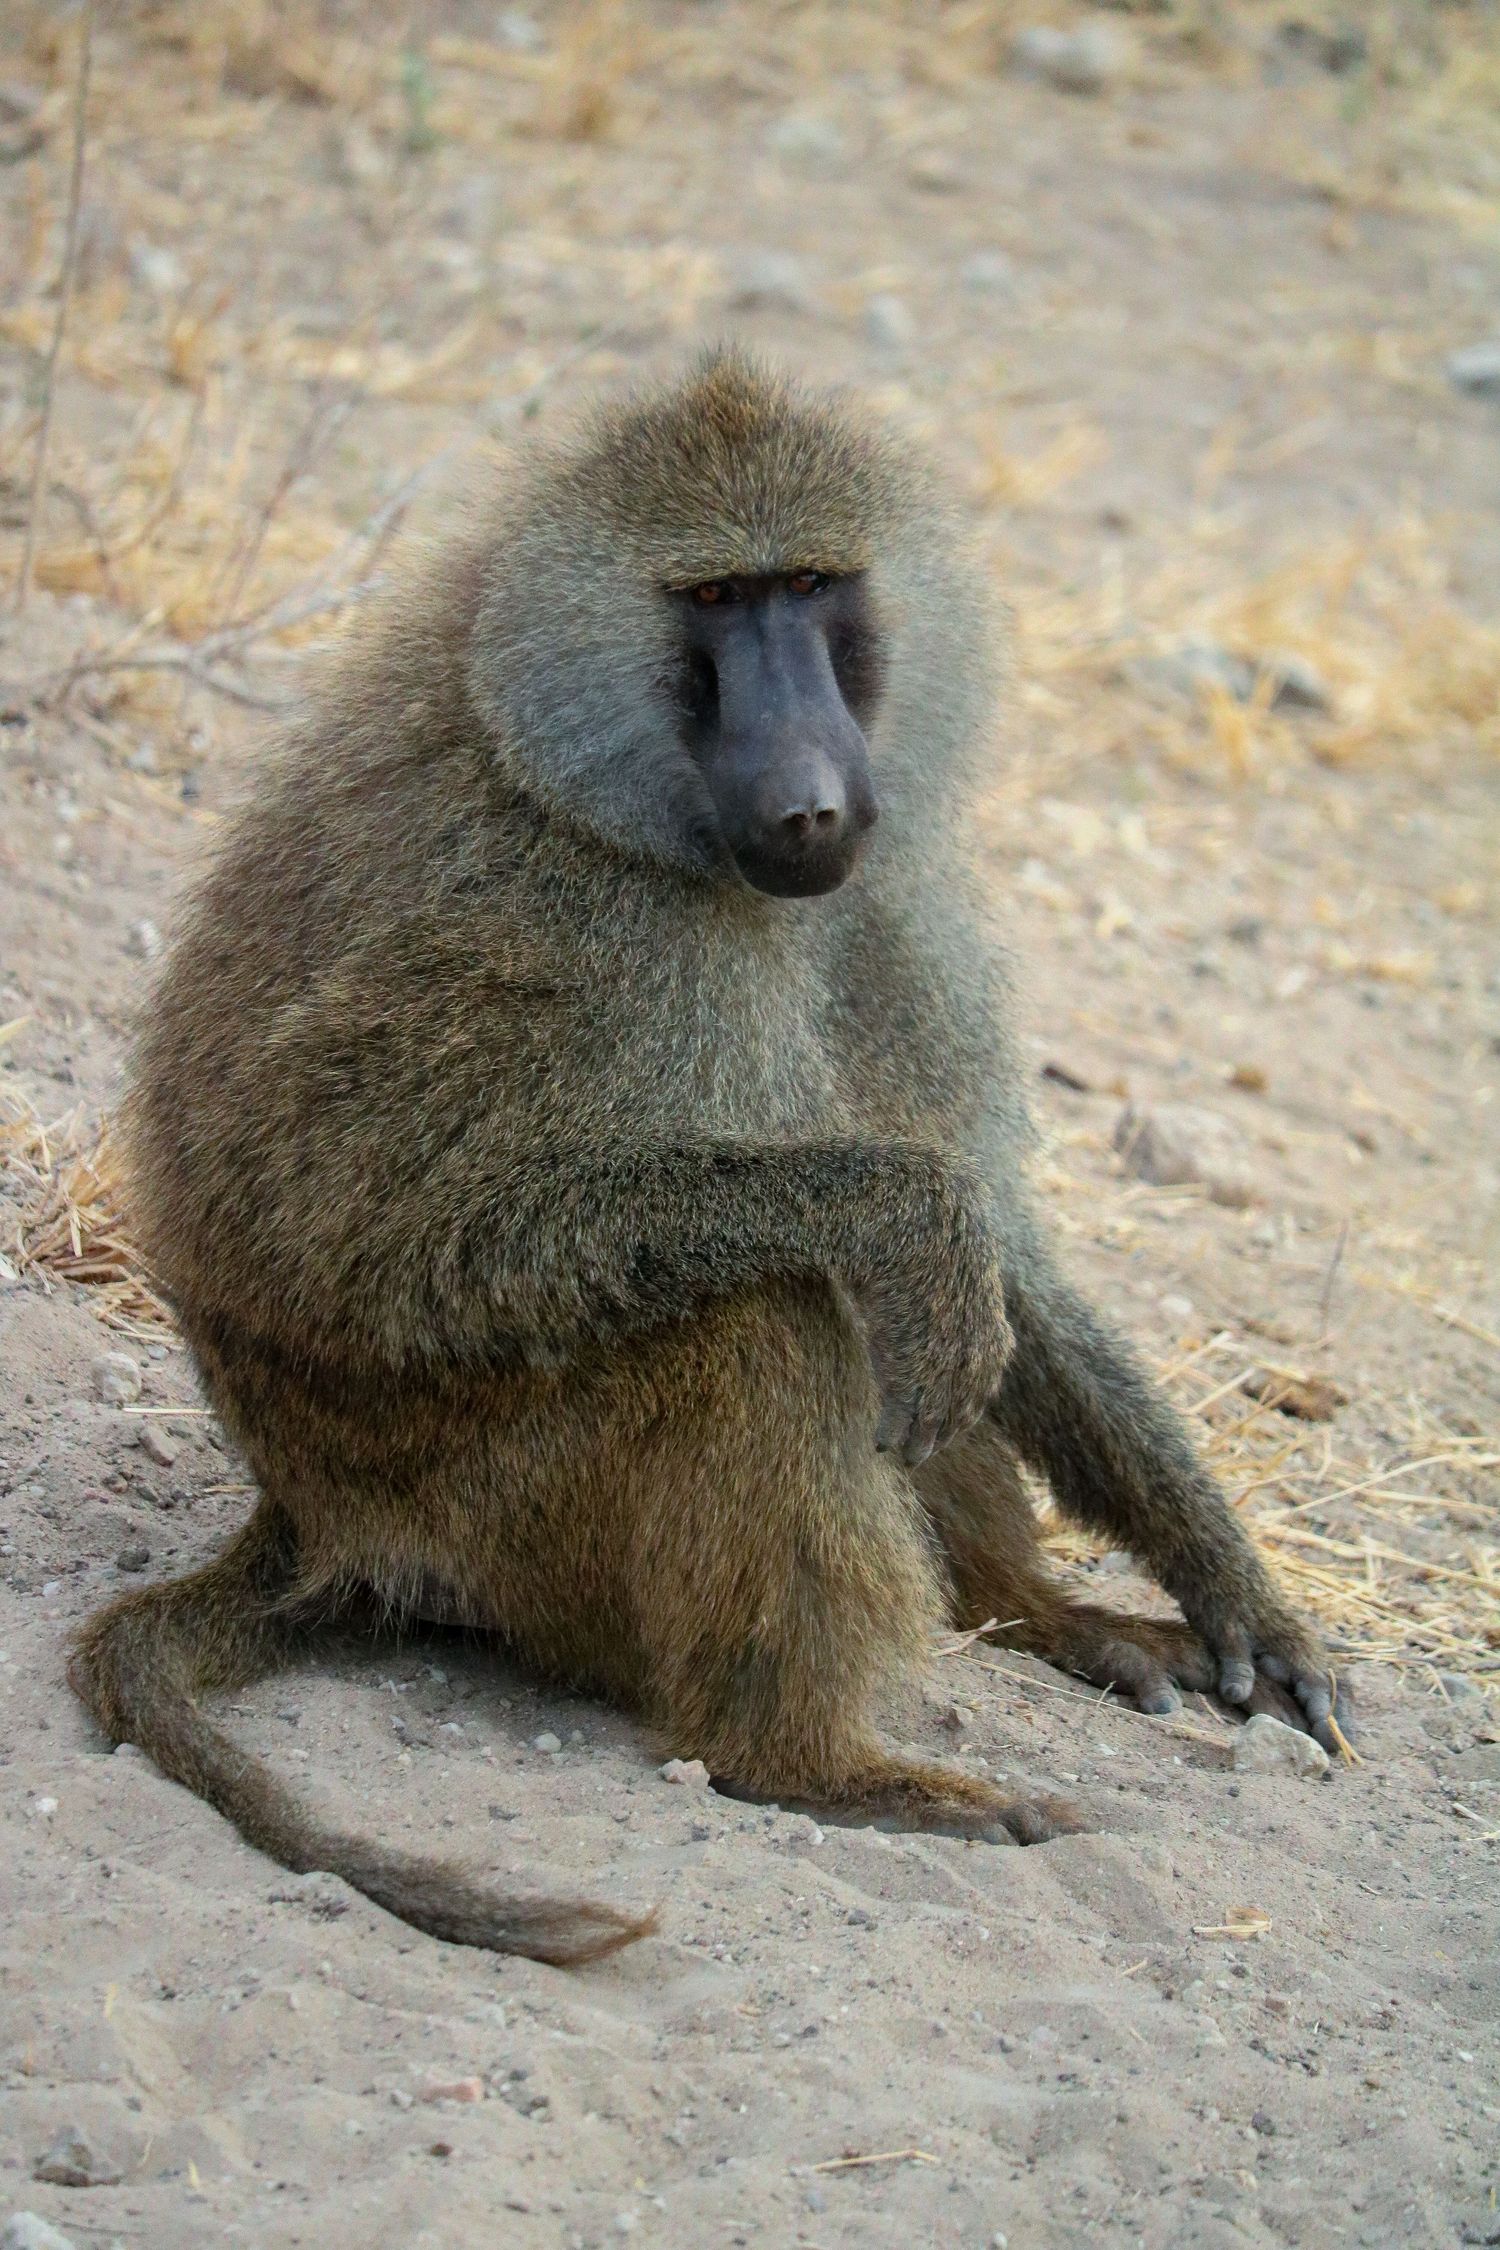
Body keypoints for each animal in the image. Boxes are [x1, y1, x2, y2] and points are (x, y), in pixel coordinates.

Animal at [70, 349, 1346, 1967]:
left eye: (809, 585)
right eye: (718, 602)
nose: (811, 799)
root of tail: (308, 1520)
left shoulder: (889, 902)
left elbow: (1002, 1252)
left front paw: (1239, 1595)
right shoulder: (549, 917)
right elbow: (348, 1239)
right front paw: (894, 1209)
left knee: (913, 1333)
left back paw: (1052, 1620)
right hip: (491, 1524)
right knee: (774, 1320)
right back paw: (814, 1763)